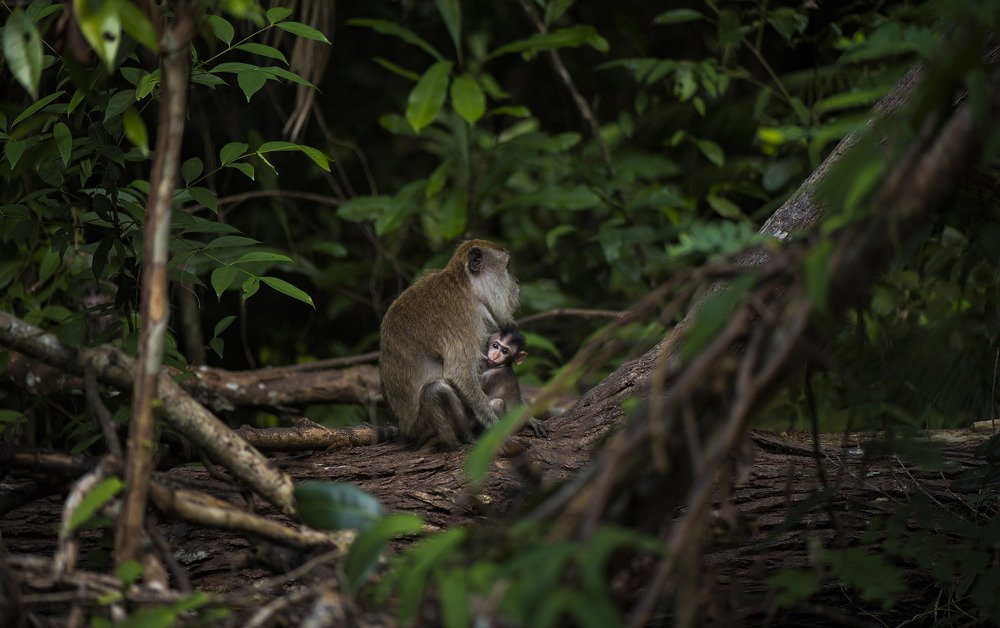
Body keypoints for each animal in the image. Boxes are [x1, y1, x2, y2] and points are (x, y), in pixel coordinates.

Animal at [379, 240, 522, 448]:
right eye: (508, 266)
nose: (517, 285)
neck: (467, 285)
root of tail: (404, 430)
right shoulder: (467, 316)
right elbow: (458, 373)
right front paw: (495, 429)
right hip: (421, 429)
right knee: (436, 390)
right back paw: (461, 440)